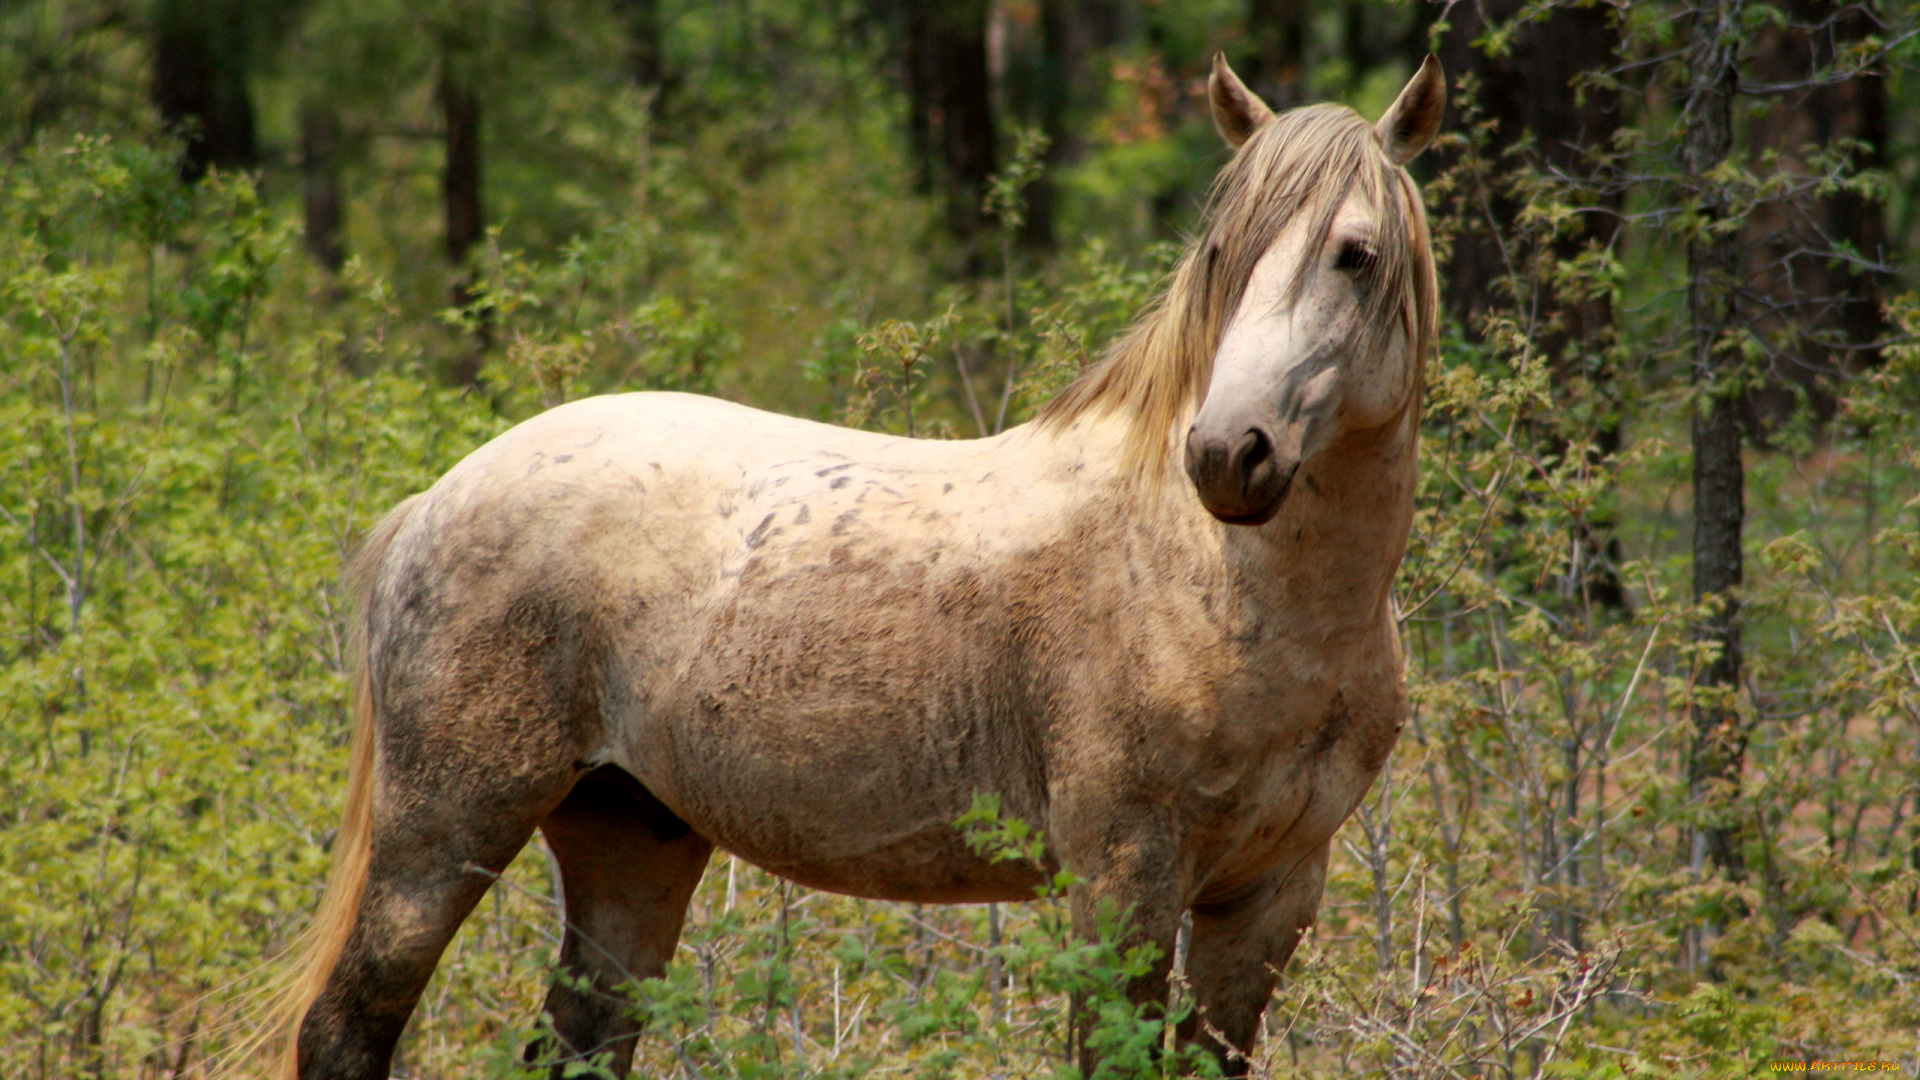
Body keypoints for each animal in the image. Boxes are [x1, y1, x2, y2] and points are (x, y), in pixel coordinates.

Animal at [266, 54, 1443, 1076]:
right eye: (1221, 256)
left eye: (1355, 255)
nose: (1227, 454)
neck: (1228, 592)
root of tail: (439, 497)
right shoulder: (1123, 885)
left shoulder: (1268, 898)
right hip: (443, 832)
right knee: (345, 1030)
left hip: (630, 842)